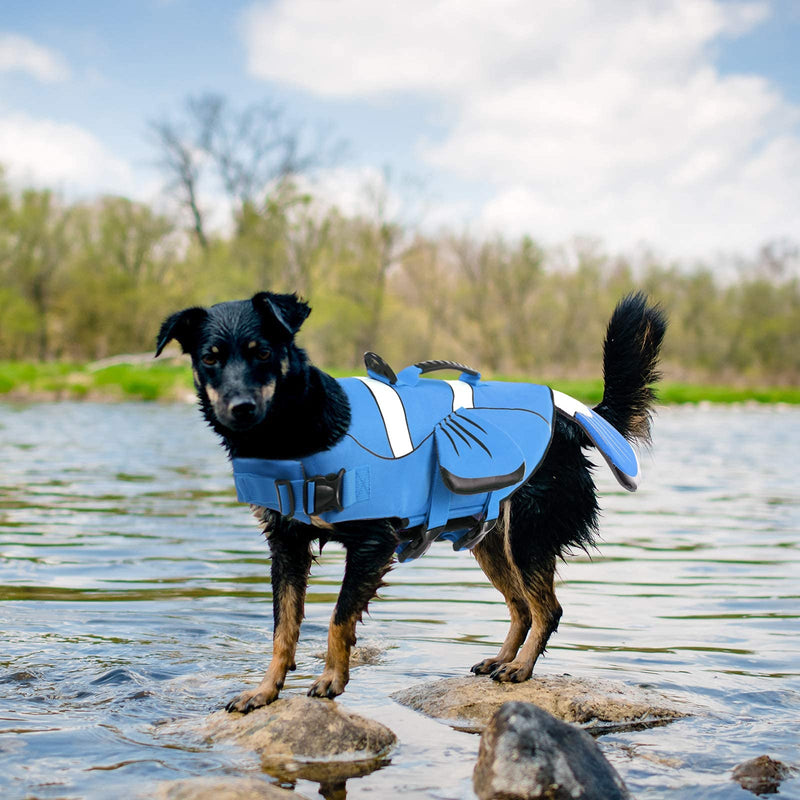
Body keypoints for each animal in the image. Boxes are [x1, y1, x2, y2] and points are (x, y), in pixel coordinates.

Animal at [158, 290, 668, 712]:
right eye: (210, 358)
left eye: (263, 352)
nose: (240, 408)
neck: (297, 434)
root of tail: (570, 418)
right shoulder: (286, 547)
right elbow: (283, 630)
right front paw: (264, 691)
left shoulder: (371, 543)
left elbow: (338, 619)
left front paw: (331, 680)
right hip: (491, 542)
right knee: (522, 607)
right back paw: (502, 659)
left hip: (526, 537)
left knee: (547, 609)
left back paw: (521, 669)